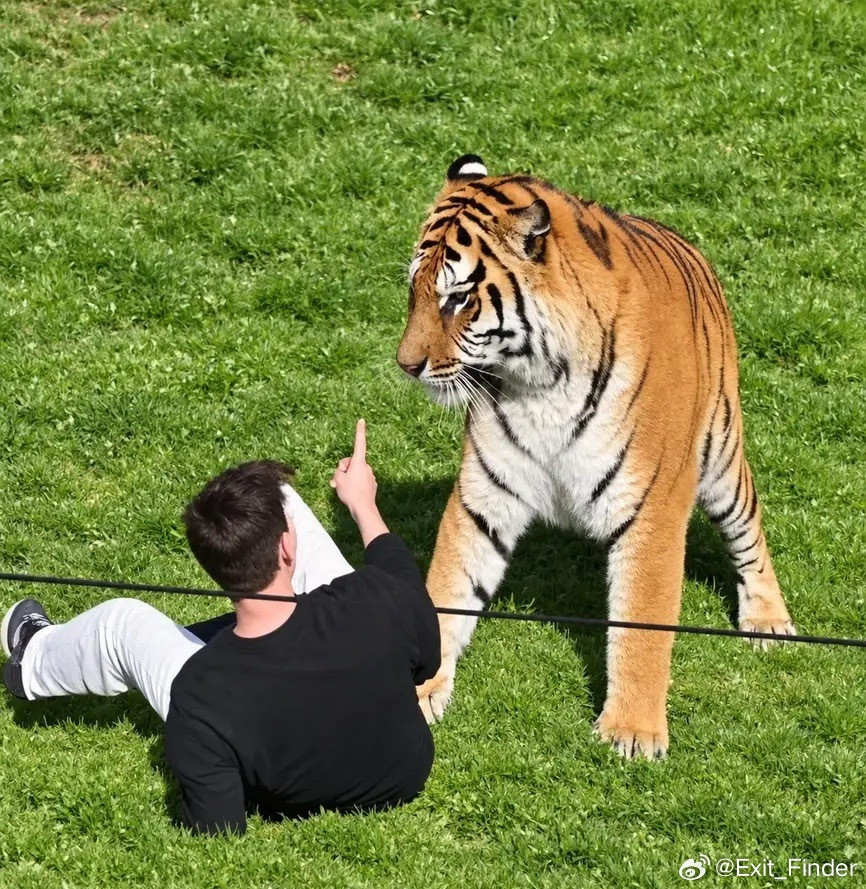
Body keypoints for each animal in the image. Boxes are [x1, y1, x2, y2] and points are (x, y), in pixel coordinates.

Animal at [396, 154, 795, 760]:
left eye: (458, 299)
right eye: (414, 291)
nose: (406, 365)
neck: (540, 383)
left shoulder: (652, 507)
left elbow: (642, 622)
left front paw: (631, 732)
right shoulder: (483, 497)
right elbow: (448, 589)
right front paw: (417, 693)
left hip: (722, 454)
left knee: (748, 532)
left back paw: (769, 621)